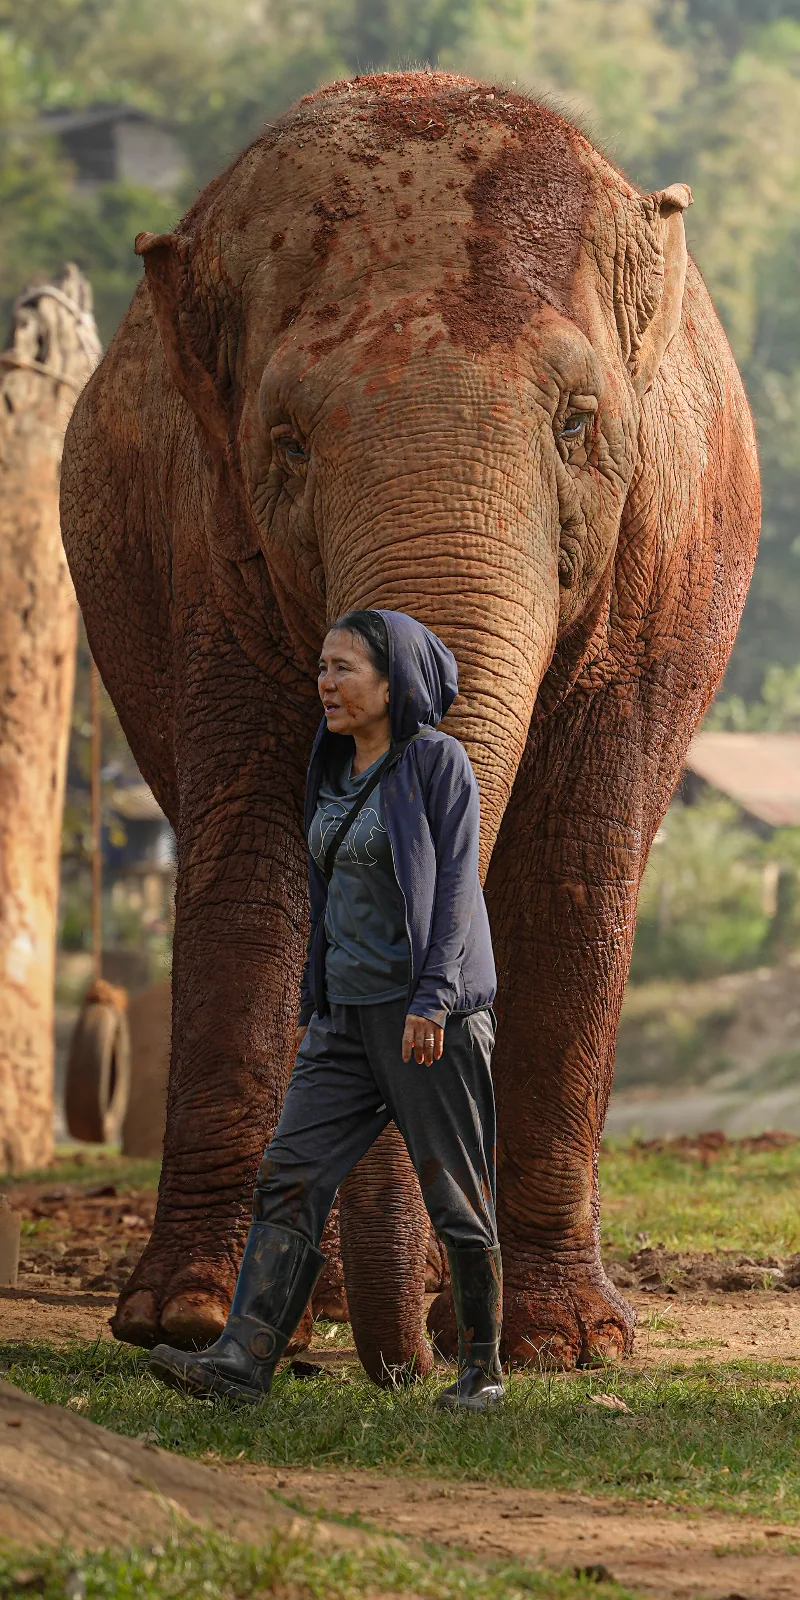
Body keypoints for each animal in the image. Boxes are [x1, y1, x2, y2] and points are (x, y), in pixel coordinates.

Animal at [60, 71, 760, 1377]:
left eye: (577, 424)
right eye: (284, 444)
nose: (414, 1371)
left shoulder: (656, 571)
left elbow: (573, 867)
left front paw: (566, 1345)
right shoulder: (204, 547)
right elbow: (254, 857)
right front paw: (184, 1319)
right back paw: (321, 1302)